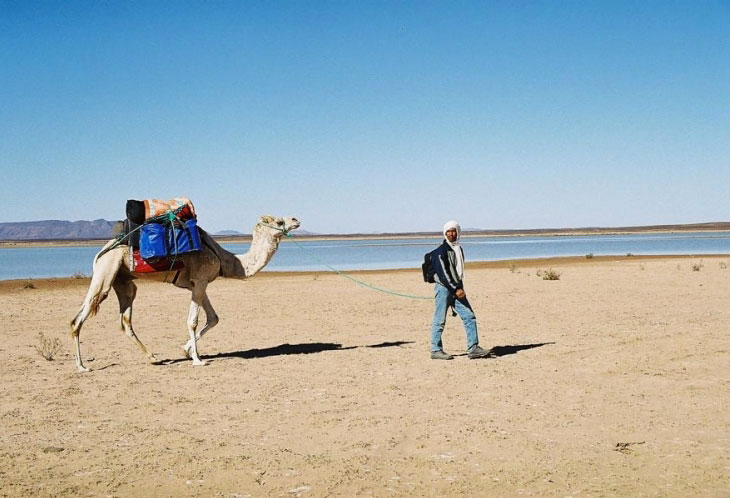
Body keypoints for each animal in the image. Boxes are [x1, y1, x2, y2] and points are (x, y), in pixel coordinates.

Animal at [67, 216, 298, 372]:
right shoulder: (201, 281)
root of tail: (100, 252)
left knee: (125, 319)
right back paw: (82, 366)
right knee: (78, 318)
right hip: (106, 272)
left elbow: (213, 318)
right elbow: (192, 321)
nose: (296, 220)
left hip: (123, 281)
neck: (225, 260)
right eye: (279, 221)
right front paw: (197, 359)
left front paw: (185, 350)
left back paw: (153, 357)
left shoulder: (198, 284)